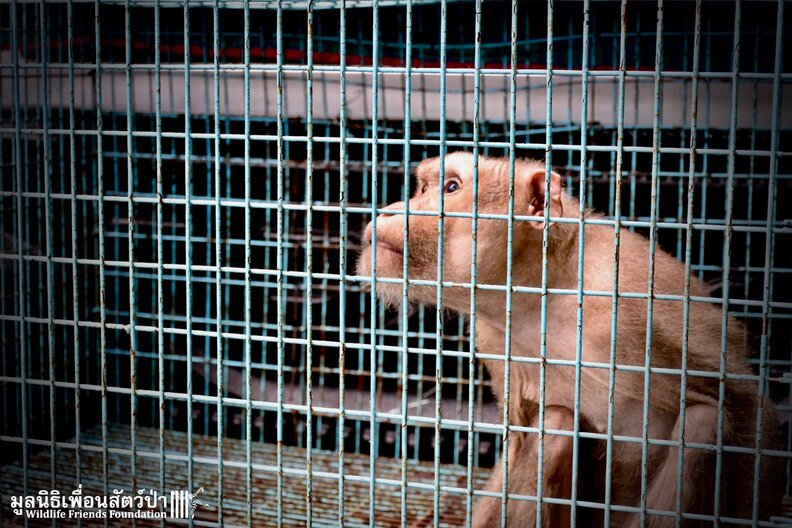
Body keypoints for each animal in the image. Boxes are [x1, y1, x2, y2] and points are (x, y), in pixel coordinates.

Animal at [357, 152, 783, 527]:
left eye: (450, 187)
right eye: (422, 187)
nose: (389, 210)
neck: (544, 289)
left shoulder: (632, 288)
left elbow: (747, 401)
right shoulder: (492, 335)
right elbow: (519, 438)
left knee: (702, 422)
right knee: (558, 421)